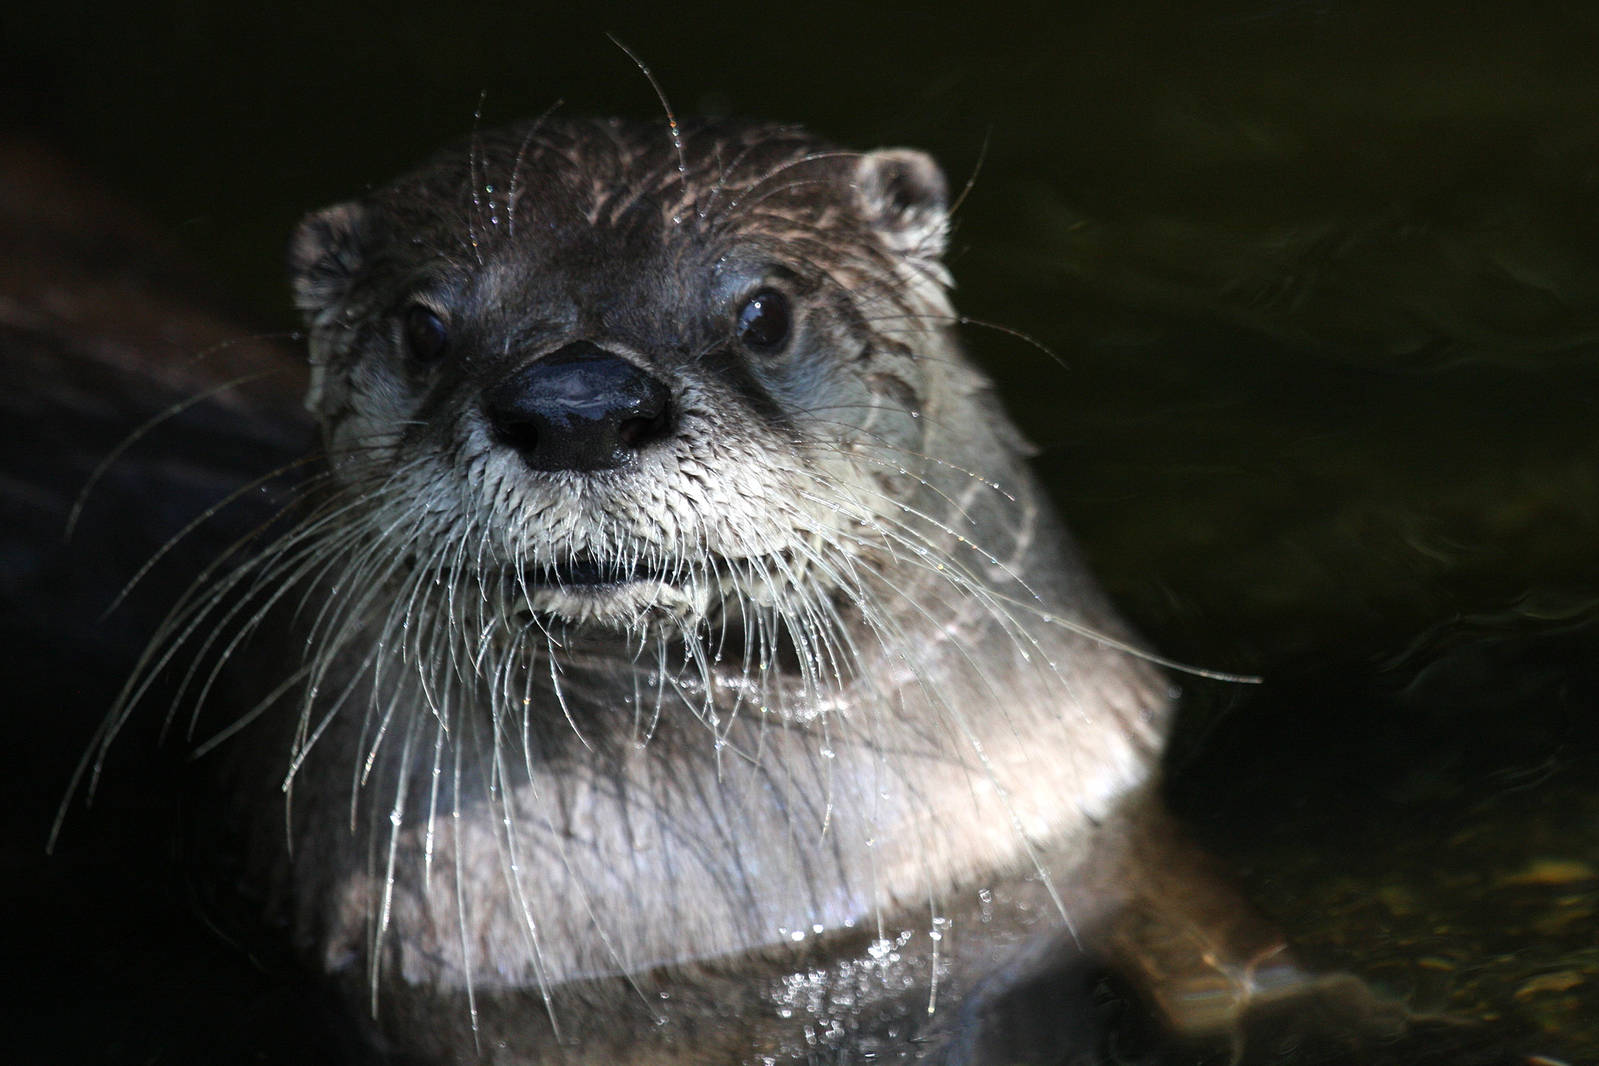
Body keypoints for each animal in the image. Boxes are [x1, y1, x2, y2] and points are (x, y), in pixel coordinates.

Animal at [80, 118, 1383, 1064]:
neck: (798, 876)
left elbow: (1213, 932)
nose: (580, 402)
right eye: (422, 326)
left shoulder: (1082, 806)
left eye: (764, 310)